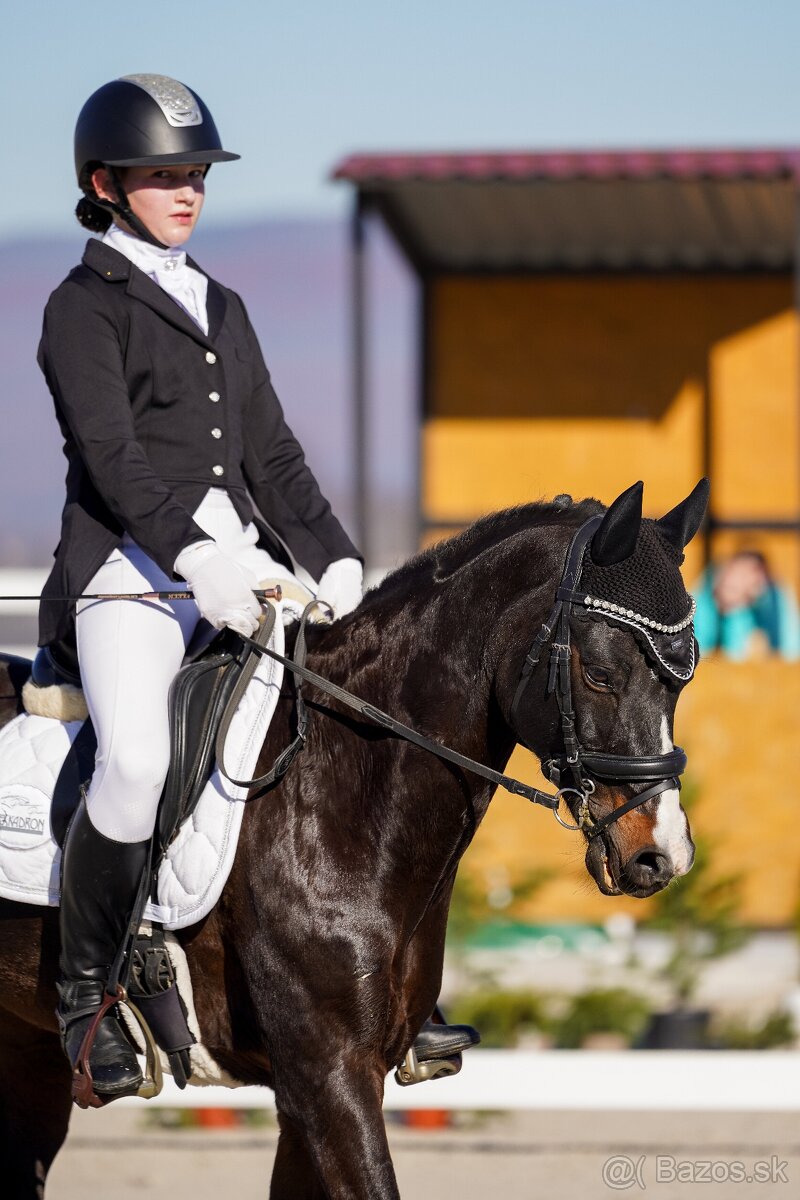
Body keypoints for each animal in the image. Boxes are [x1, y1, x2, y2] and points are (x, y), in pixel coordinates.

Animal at [0, 480, 706, 1198]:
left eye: (684, 678)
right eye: (598, 672)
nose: (662, 855)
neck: (335, 784)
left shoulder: (317, 1088)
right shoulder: (328, 1073)